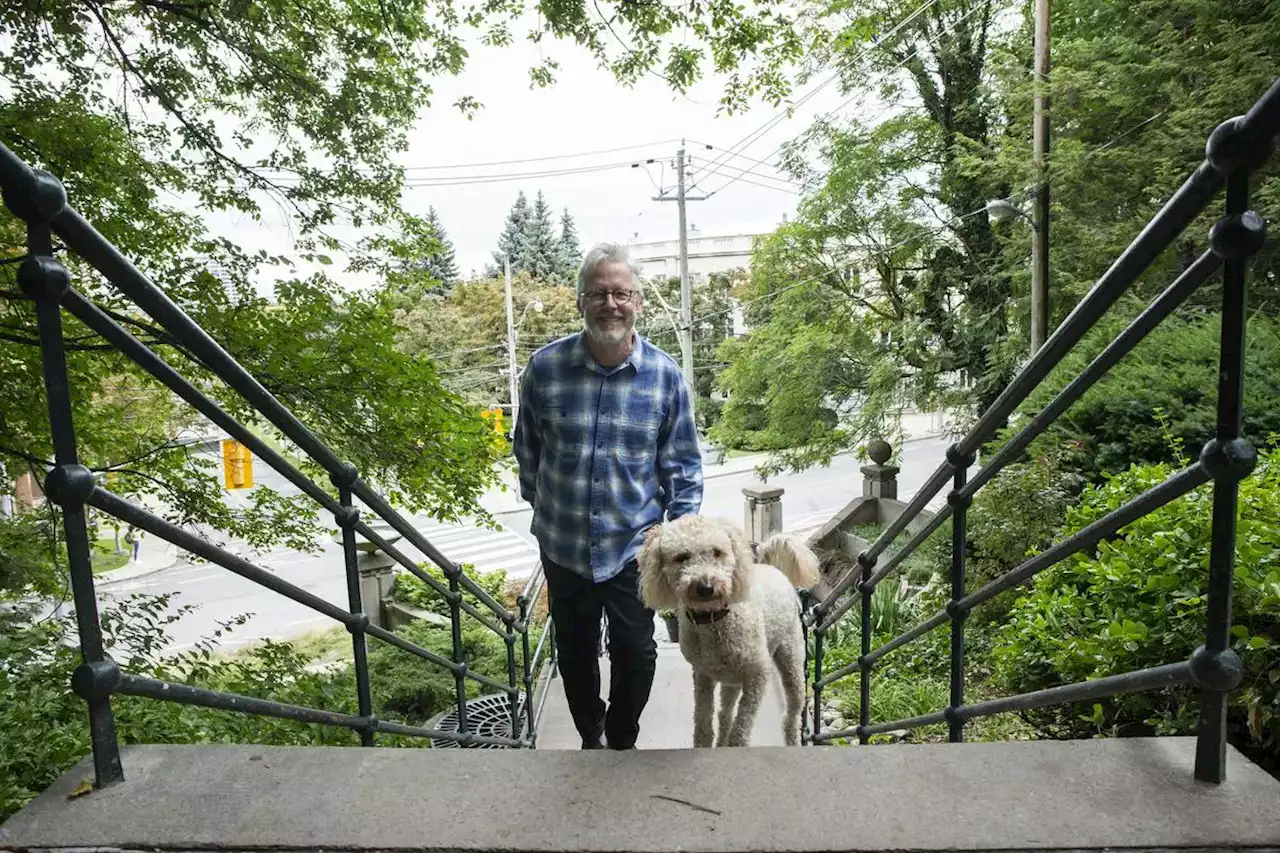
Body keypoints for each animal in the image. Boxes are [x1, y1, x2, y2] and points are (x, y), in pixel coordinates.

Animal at [637, 512, 819, 742]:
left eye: (717, 552)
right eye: (681, 557)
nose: (705, 587)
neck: (714, 619)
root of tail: (773, 568)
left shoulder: (758, 673)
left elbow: (740, 729)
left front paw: (735, 742)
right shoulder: (703, 675)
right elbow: (703, 723)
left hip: (791, 657)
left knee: (792, 712)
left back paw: (792, 737)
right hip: (731, 679)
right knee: (725, 713)